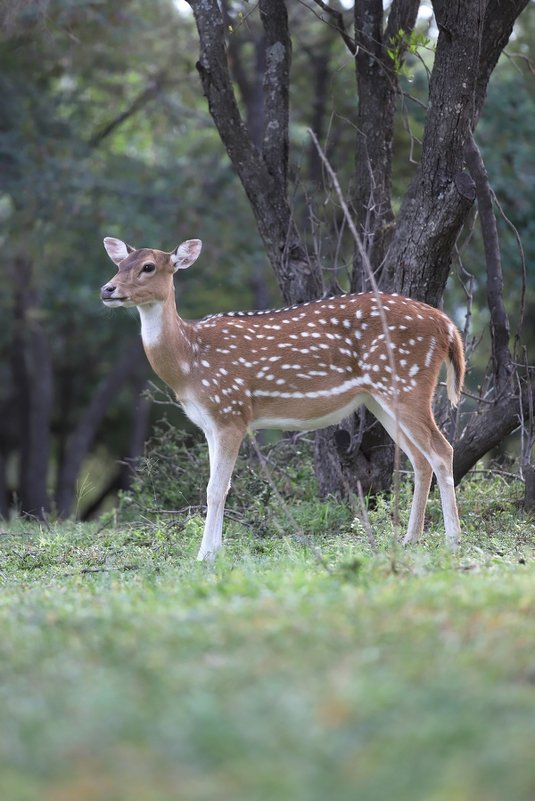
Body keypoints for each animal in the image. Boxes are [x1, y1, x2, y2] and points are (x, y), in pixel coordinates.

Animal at [100, 238, 464, 560]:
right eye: (119, 264)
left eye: (148, 266)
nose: (107, 289)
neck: (189, 362)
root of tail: (448, 326)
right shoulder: (208, 422)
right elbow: (219, 487)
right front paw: (216, 550)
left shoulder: (231, 410)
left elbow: (216, 488)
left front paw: (204, 556)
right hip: (380, 396)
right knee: (419, 459)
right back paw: (410, 539)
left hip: (407, 381)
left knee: (442, 450)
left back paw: (452, 541)